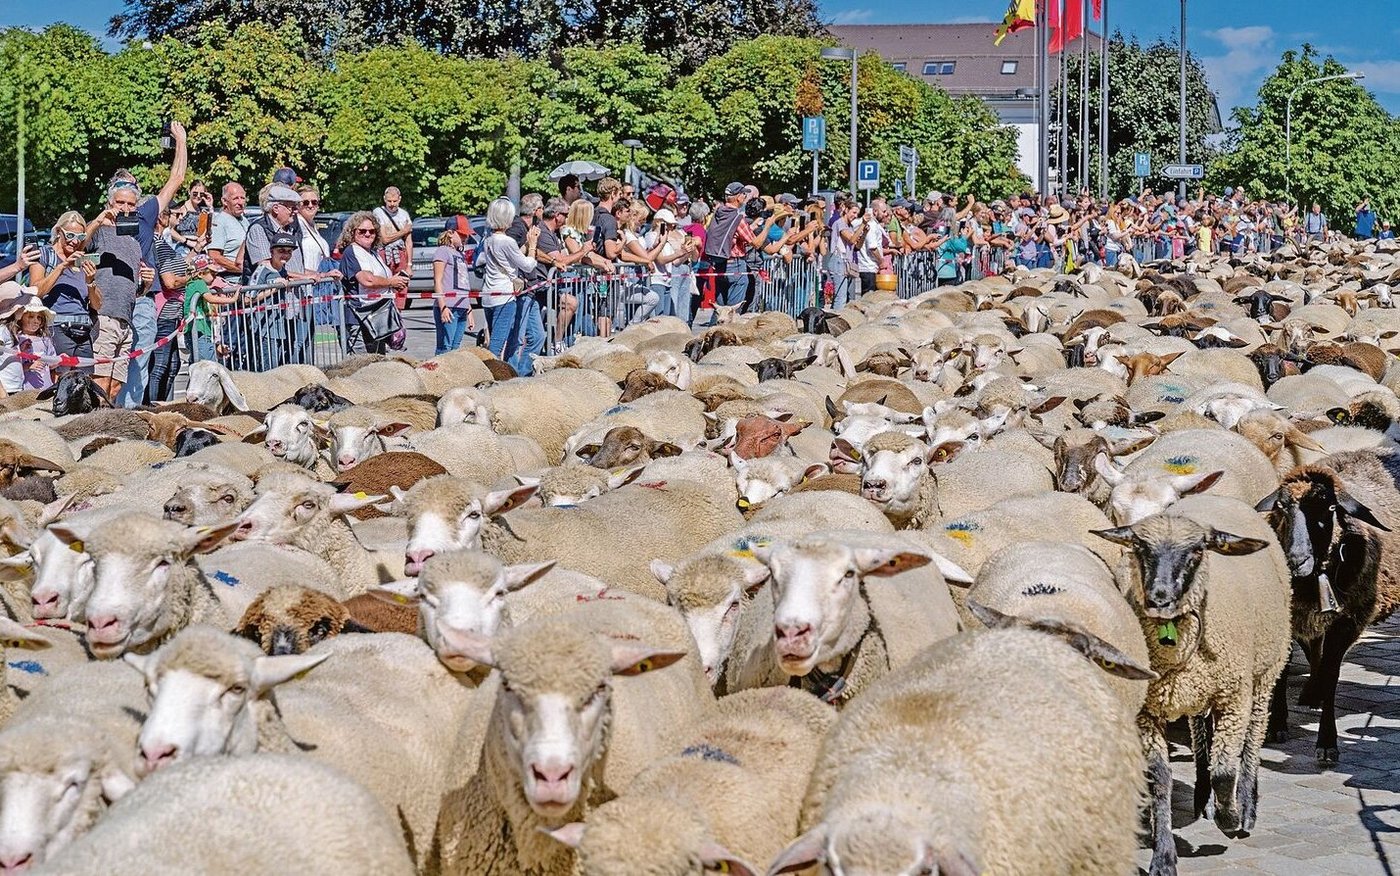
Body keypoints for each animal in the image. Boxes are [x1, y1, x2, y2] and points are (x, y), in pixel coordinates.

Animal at [1093, 494, 1292, 876]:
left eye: (1198, 550)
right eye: (1140, 546)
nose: (1159, 598)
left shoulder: (1234, 698)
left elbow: (1225, 771)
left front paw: (1230, 818)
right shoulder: (1146, 713)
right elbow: (1159, 779)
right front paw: (1163, 855)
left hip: (1265, 673)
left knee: (1253, 737)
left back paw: (1246, 805)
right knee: (1201, 735)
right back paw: (1202, 798)